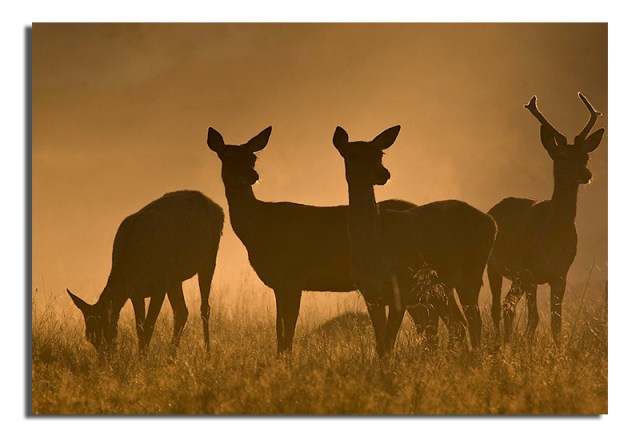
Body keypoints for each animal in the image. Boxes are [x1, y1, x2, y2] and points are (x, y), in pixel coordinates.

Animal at [67, 190, 224, 355]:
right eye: (89, 338)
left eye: (108, 332)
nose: (105, 358)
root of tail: (218, 208)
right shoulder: (136, 292)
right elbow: (139, 328)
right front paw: (142, 355)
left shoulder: (160, 284)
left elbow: (149, 325)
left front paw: (144, 358)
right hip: (174, 279)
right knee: (181, 311)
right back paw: (171, 356)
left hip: (209, 257)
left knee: (204, 308)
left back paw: (207, 352)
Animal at [206, 126, 433, 355]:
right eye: (227, 156)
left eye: (253, 157)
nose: (252, 175)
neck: (258, 229)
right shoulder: (280, 283)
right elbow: (280, 332)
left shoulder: (293, 276)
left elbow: (288, 333)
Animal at [332, 125, 497, 356]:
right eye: (353, 154)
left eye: (380, 154)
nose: (384, 173)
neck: (374, 243)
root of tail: (492, 222)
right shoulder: (370, 295)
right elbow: (380, 345)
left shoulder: (400, 288)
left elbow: (388, 343)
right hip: (439, 288)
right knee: (457, 323)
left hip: (471, 272)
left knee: (474, 320)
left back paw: (475, 355)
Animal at [487, 93, 604, 345]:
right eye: (561, 156)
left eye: (585, 156)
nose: (586, 174)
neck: (552, 238)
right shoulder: (530, 272)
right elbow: (534, 319)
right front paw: (529, 350)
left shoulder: (561, 274)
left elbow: (555, 322)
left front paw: (557, 350)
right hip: (494, 266)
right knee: (496, 307)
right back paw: (499, 344)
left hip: (516, 278)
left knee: (508, 306)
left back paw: (508, 342)